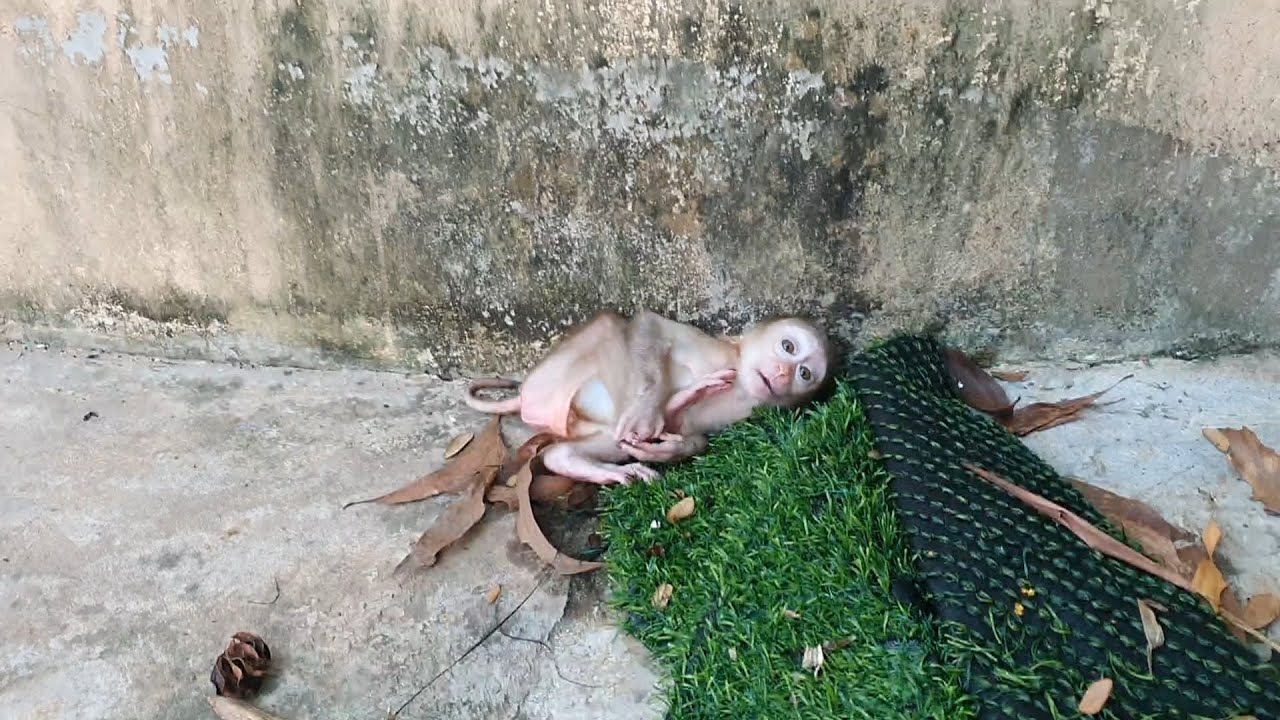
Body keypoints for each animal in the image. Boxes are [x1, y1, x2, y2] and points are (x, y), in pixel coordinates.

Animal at [464, 309, 832, 486]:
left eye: (804, 373)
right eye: (788, 346)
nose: (783, 374)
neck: (741, 380)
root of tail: (525, 397)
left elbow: (694, 434)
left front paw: (675, 448)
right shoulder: (713, 348)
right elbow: (650, 326)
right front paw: (648, 412)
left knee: (573, 450)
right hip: (557, 381)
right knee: (612, 329)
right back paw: (666, 403)